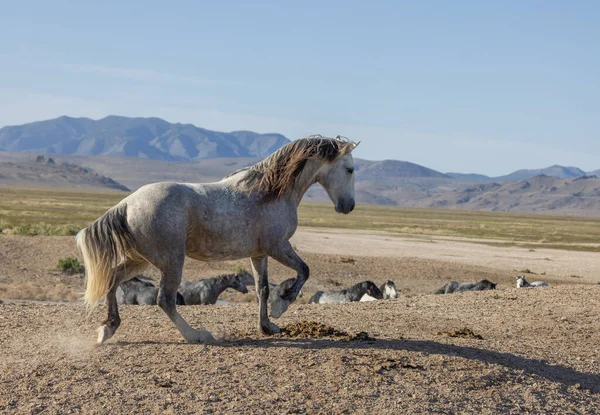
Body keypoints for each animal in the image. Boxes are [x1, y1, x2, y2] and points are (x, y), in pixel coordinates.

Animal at [74, 136, 356, 344]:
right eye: (350, 169)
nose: (349, 207)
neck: (271, 192)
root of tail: (127, 204)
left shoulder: (259, 254)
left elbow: (262, 289)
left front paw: (267, 326)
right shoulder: (278, 247)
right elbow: (304, 271)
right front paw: (282, 305)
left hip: (141, 259)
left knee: (112, 279)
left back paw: (107, 329)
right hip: (170, 260)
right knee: (164, 299)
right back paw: (196, 335)